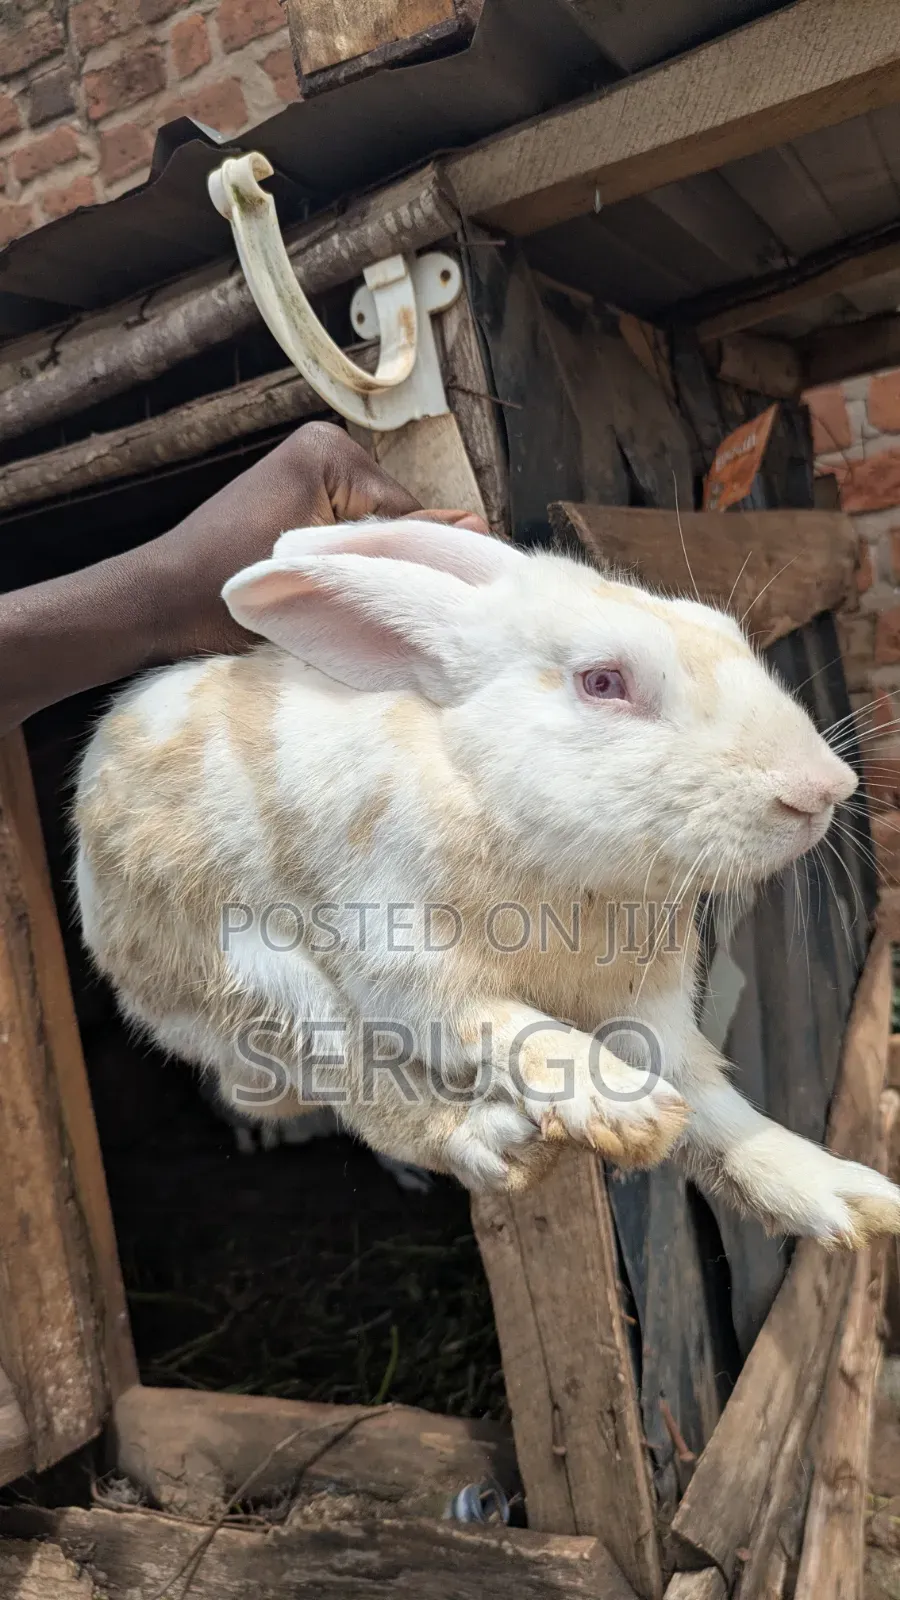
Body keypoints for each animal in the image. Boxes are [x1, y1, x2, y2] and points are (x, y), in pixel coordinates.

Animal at [73, 518, 900, 1248]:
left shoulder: (650, 1007)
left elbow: (711, 1103)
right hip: (267, 986)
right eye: (603, 681)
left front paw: (843, 1197)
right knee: (375, 1098)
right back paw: (498, 1143)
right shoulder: (406, 967)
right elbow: (512, 1030)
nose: (825, 788)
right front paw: (622, 1112)